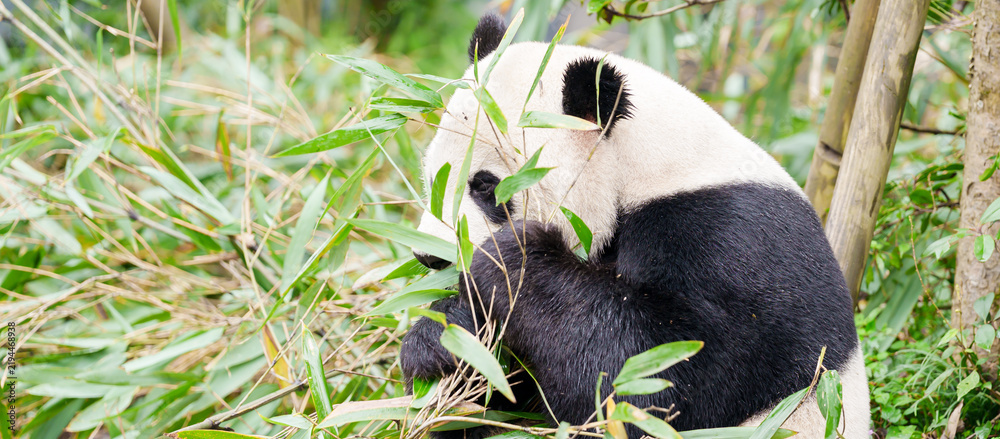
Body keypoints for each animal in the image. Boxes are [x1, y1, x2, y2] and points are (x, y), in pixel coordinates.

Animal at [399, 13, 871, 439]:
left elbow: (655, 380)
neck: (646, 163)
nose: (429, 255)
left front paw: (511, 261)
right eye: (431, 179)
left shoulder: (729, 242)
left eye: (485, 186)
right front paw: (439, 341)